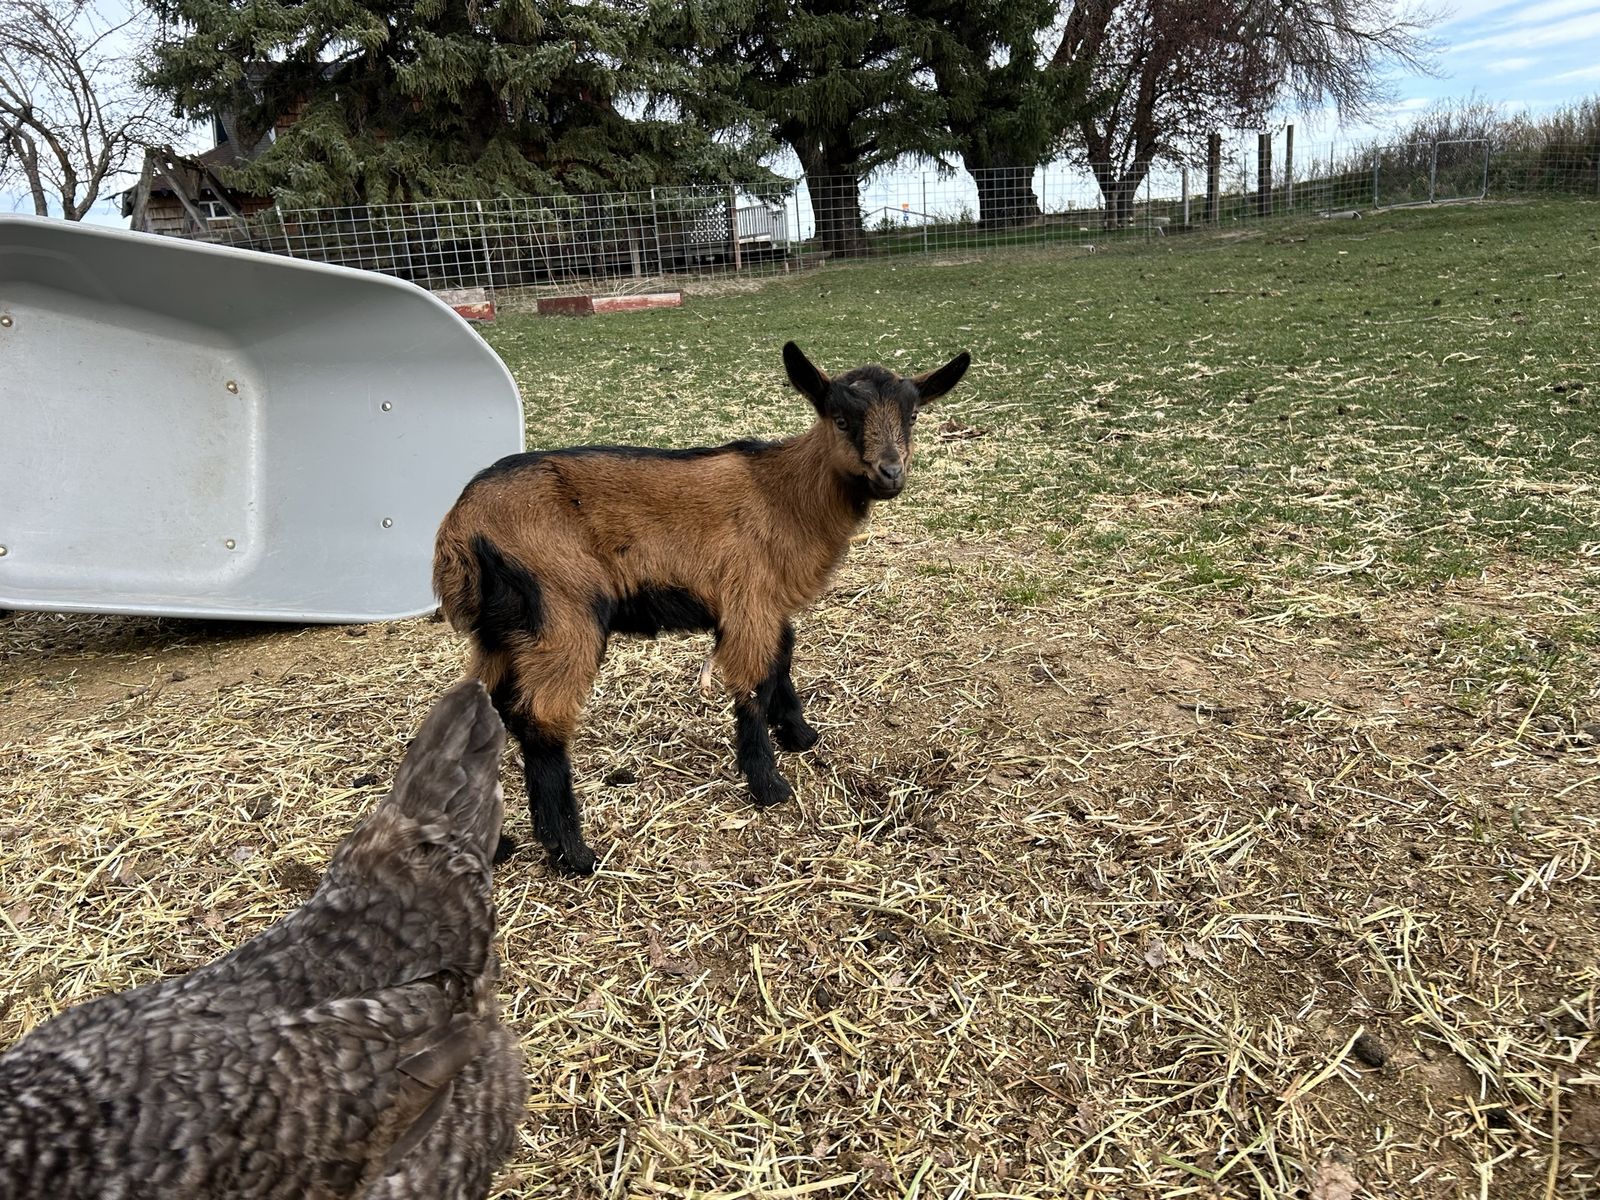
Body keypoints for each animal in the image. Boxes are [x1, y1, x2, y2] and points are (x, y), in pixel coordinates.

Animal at [433, 341, 971, 873]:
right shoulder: (748, 598)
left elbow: (783, 659)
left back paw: (491, 841)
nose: (890, 473)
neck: (783, 493)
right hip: (561, 611)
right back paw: (570, 851)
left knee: (482, 707)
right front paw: (769, 785)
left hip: (500, 630)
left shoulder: (770, 604)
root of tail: (460, 526)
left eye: (913, 415)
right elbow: (754, 685)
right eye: (839, 418)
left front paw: (799, 735)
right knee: (540, 719)